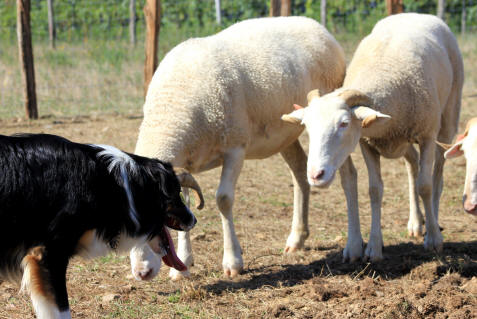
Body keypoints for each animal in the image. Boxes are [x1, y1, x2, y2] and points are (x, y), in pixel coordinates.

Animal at [132, 16, 344, 280]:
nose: (141, 273)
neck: (172, 107)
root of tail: (316, 25)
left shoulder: (235, 148)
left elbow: (223, 199)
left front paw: (233, 262)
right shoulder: (185, 163)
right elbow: (187, 204)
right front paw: (183, 266)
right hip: (285, 134)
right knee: (299, 172)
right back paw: (296, 239)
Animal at [280, 12, 462, 262]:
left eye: (344, 123)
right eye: (307, 126)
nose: (316, 175)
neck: (385, 72)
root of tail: (414, 14)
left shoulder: (426, 134)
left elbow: (425, 186)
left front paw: (434, 240)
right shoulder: (368, 143)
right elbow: (374, 190)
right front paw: (374, 247)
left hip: (446, 119)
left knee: (437, 175)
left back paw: (431, 223)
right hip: (401, 141)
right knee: (413, 165)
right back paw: (416, 222)